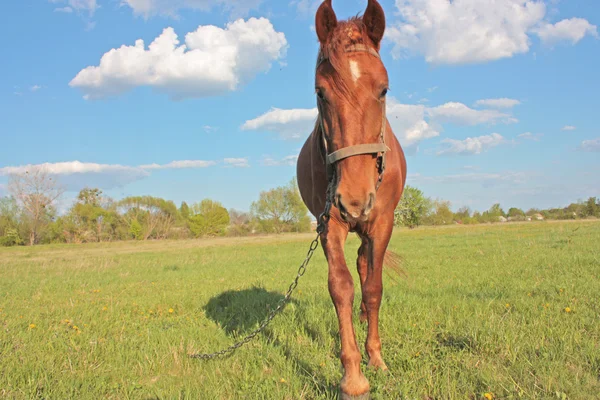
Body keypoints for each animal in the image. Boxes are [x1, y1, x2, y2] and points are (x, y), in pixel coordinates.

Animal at [296, 0, 408, 396]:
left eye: (384, 89)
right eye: (319, 92)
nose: (355, 199)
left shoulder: (382, 222)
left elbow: (373, 287)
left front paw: (376, 358)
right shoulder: (328, 223)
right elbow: (341, 287)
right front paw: (353, 377)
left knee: (365, 265)